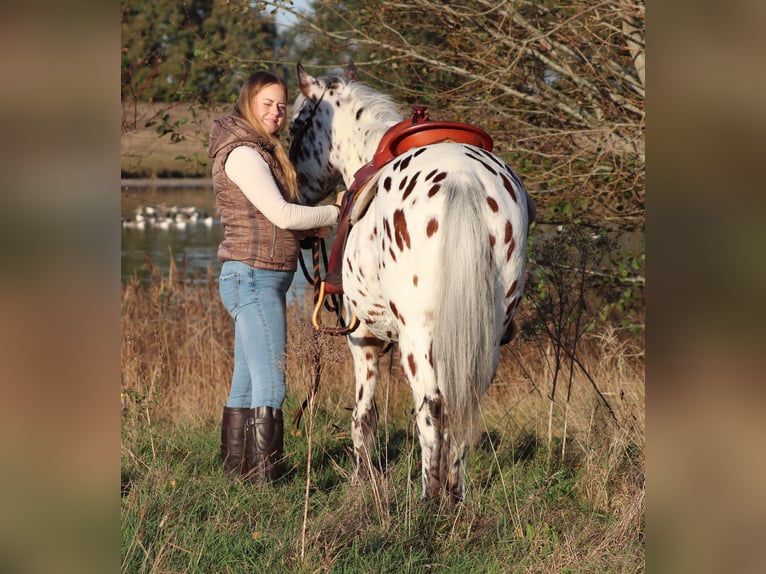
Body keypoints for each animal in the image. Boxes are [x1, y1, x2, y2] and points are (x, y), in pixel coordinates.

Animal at [288, 60, 536, 506]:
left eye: (296, 124)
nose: (299, 192)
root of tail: (462, 177)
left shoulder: (363, 338)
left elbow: (363, 415)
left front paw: (362, 481)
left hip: (419, 337)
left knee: (431, 406)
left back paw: (429, 498)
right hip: (484, 333)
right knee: (464, 402)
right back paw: (454, 496)